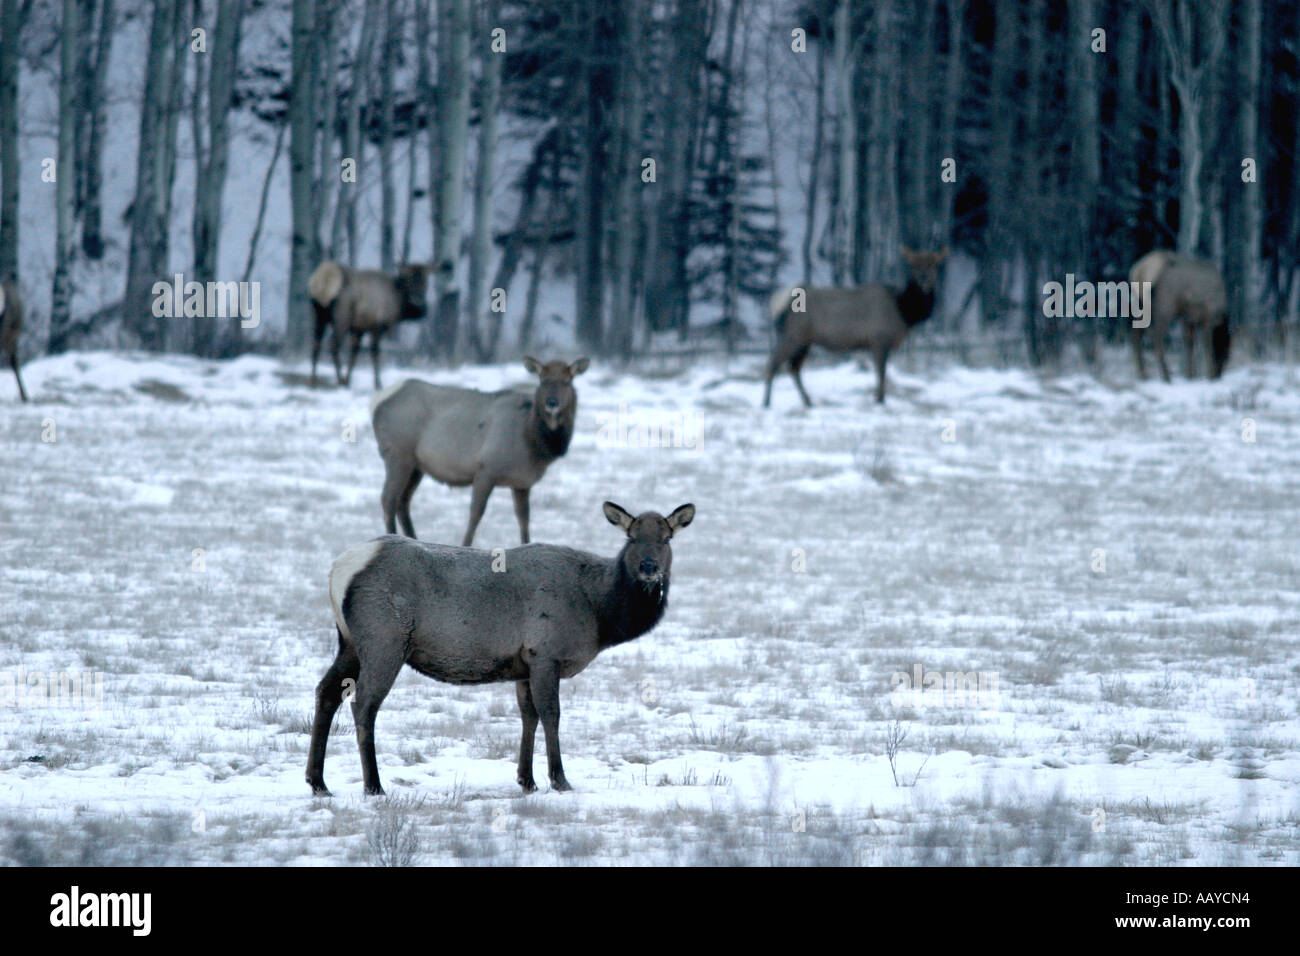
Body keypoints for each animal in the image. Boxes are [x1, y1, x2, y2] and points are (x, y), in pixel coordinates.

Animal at [305, 261, 428, 390]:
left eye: (426, 282)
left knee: (315, 344)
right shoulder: (377, 325)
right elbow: (375, 352)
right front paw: (378, 384)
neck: (398, 304)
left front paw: (349, 380)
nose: (420, 303)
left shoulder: (359, 328)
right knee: (333, 345)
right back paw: (340, 381)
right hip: (342, 318)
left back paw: (313, 382)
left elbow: (354, 353)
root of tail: (324, 280)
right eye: (409, 282)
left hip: (318, 316)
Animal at [305, 496, 696, 796]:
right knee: (364, 704)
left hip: (349, 642)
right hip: (384, 639)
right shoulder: (546, 652)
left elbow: (528, 716)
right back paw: (373, 785)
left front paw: (527, 780)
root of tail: (337, 571)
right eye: (631, 536)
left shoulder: (523, 663)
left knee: (327, 691)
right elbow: (551, 715)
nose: (649, 567)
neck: (600, 613)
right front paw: (559, 779)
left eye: (667, 538)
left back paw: (318, 781)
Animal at [369, 356, 587, 546]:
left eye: (567, 381)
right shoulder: (486, 469)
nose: (552, 403)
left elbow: (524, 519)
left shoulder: (522, 483)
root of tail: (375, 403)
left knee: (403, 502)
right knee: (388, 499)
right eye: (542, 380)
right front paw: (465, 545)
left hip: (416, 465)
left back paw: (414, 539)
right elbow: (475, 514)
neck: (533, 442)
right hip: (398, 453)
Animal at [759, 247, 946, 408]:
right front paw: (879, 399)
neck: (905, 311)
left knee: (793, 368)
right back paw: (766, 402)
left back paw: (808, 401)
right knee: (773, 364)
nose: (925, 280)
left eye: (934, 264)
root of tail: (776, 302)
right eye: (914, 265)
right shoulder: (879, 339)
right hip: (793, 335)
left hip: (805, 341)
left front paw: (879, 398)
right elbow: (881, 372)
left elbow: (881, 372)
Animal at [1128, 251, 1227, 382]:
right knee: (1156, 337)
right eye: (1224, 353)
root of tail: (1138, 272)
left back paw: (1143, 375)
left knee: (1136, 336)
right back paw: (1166, 377)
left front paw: (1191, 375)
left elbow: (1190, 343)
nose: (1218, 375)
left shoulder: (1189, 318)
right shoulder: (1207, 317)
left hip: (1141, 305)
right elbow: (1207, 345)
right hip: (1164, 307)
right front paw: (1208, 374)